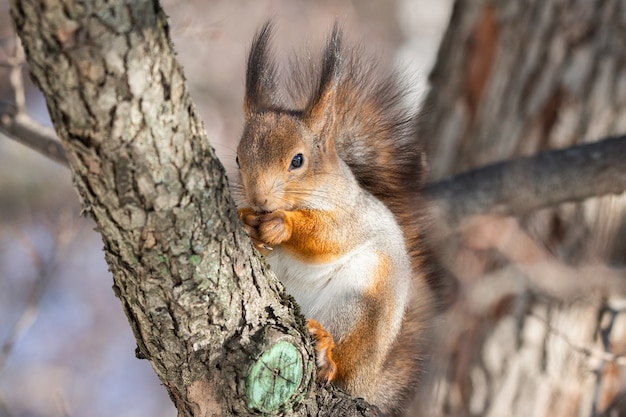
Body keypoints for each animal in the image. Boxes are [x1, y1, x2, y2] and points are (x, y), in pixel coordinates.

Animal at [234, 23, 434, 416]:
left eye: (298, 160)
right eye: (237, 158)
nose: (259, 200)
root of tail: (368, 382)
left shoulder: (350, 215)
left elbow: (328, 237)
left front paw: (282, 225)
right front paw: (247, 221)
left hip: (360, 301)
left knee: (341, 360)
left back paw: (327, 353)